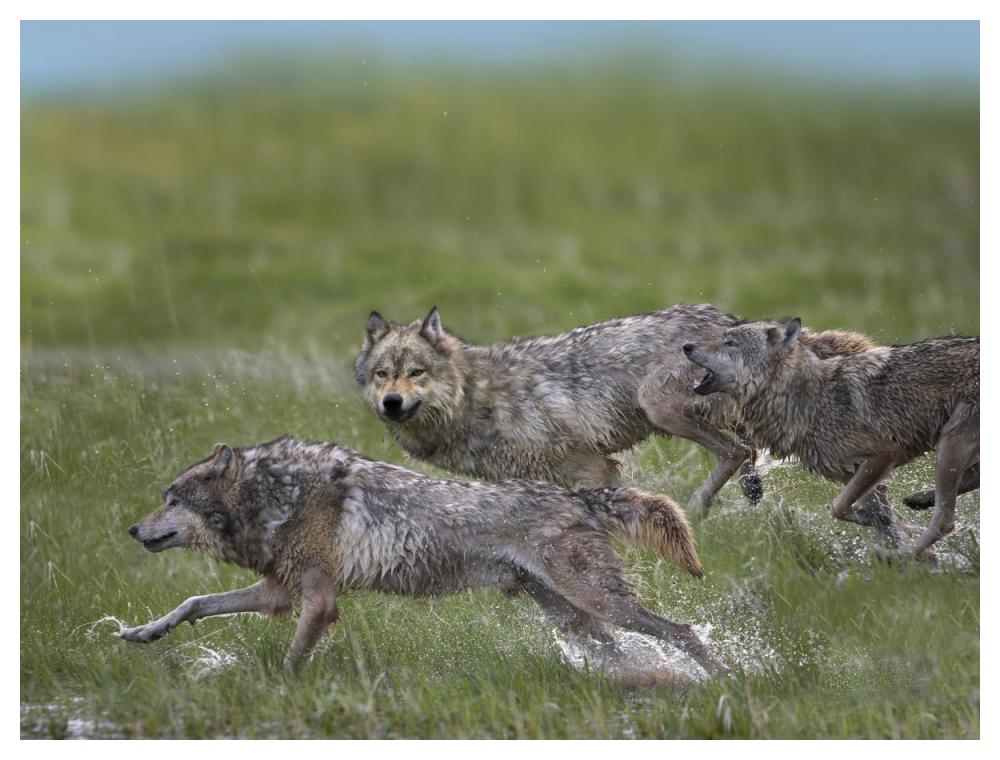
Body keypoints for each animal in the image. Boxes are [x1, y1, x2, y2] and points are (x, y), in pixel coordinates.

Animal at [118, 437, 727, 676]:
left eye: (171, 499)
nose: (131, 529)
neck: (276, 495)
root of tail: (576, 497)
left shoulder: (319, 601)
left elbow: (291, 661)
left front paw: (277, 692)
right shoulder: (277, 592)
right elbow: (194, 602)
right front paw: (141, 633)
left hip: (596, 602)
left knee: (682, 632)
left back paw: (727, 679)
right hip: (574, 618)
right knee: (625, 653)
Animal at [354, 305, 877, 516]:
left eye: (416, 373)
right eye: (382, 374)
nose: (392, 402)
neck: (477, 399)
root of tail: (730, 321)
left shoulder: (594, 467)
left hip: (657, 405)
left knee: (736, 452)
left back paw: (701, 507)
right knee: (746, 451)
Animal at [683, 319, 979, 557]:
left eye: (729, 342)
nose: (686, 346)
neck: (808, 400)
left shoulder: (884, 454)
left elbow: (838, 507)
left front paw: (873, 530)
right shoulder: (856, 472)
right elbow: (877, 518)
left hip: (949, 445)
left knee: (944, 520)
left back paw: (901, 553)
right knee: (963, 489)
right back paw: (919, 501)